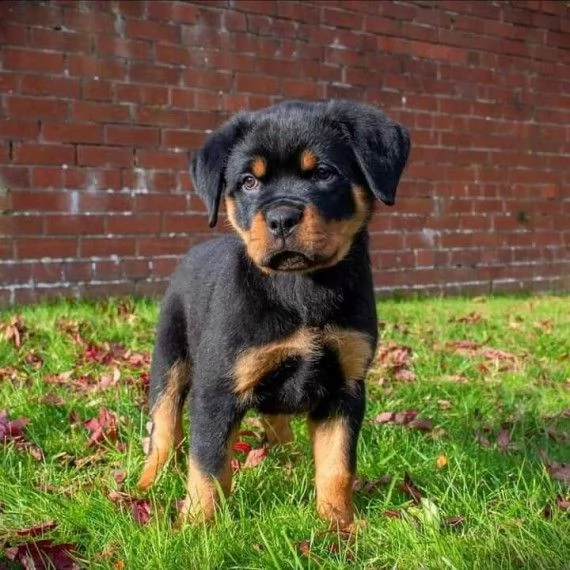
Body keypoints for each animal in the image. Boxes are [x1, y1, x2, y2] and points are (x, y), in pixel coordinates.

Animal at [135, 98, 406, 528]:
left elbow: (337, 465)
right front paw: (197, 527)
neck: (300, 288)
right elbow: (207, 463)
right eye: (249, 182)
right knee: (163, 426)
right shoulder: (217, 388)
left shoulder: (345, 387)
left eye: (324, 173)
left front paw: (338, 526)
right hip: (170, 355)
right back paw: (149, 483)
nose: (281, 219)